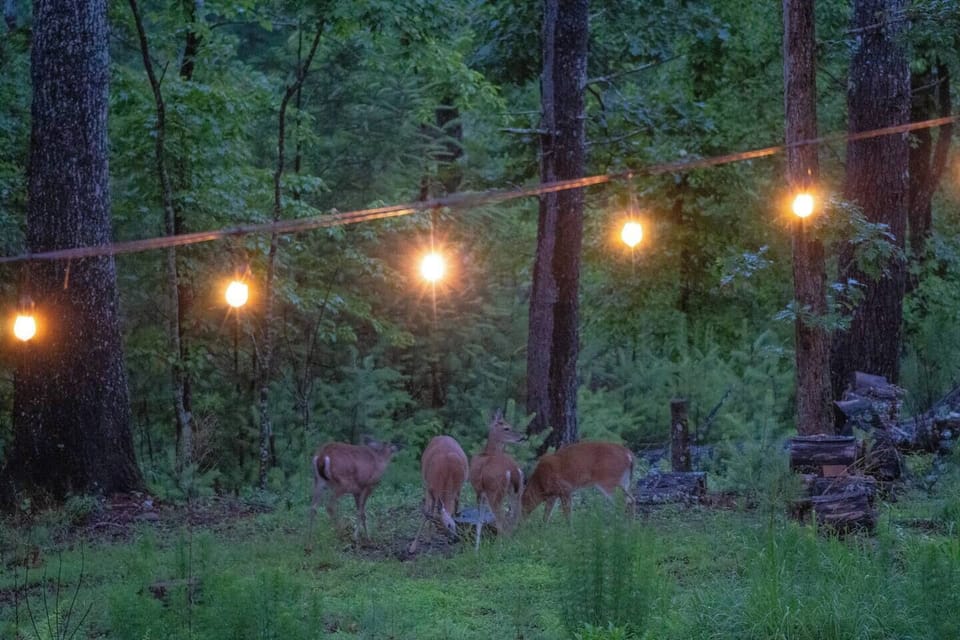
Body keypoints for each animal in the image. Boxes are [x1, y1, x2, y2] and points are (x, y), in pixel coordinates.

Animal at [469, 409, 526, 550]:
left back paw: (500, 547)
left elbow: (479, 520)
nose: (522, 437)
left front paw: (476, 549)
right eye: (507, 427)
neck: (488, 452)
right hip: (517, 491)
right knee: (516, 516)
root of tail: (512, 469)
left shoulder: (478, 491)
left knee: (501, 521)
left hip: (494, 492)